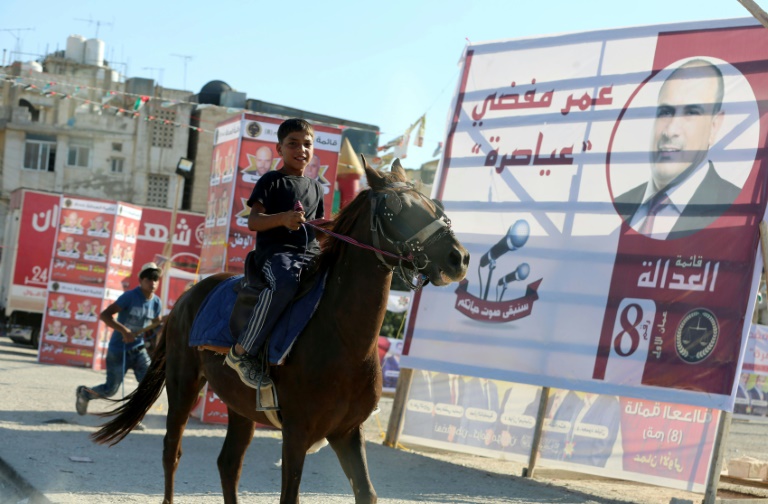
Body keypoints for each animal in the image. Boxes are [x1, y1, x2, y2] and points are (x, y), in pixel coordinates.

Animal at [91, 159, 468, 502]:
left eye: (433, 205)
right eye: (396, 208)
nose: (458, 258)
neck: (344, 339)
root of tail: (187, 296)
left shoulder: (347, 432)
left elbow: (367, 493)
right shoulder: (297, 433)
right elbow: (290, 496)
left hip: (240, 407)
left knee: (228, 463)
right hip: (183, 385)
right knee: (172, 450)